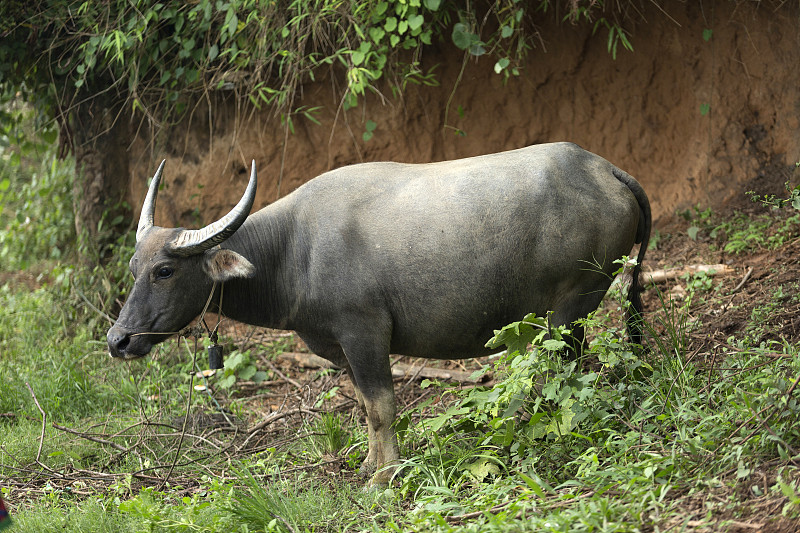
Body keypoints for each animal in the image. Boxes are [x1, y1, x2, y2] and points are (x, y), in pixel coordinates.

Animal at [108, 141, 648, 486]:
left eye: (163, 270)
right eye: (133, 267)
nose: (119, 340)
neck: (295, 249)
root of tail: (604, 169)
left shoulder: (364, 332)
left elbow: (382, 405)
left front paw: (383, 478)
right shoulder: (341, 348)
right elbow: (366, 408)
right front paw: (370, 467)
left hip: (574, 303)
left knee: (565, 370)